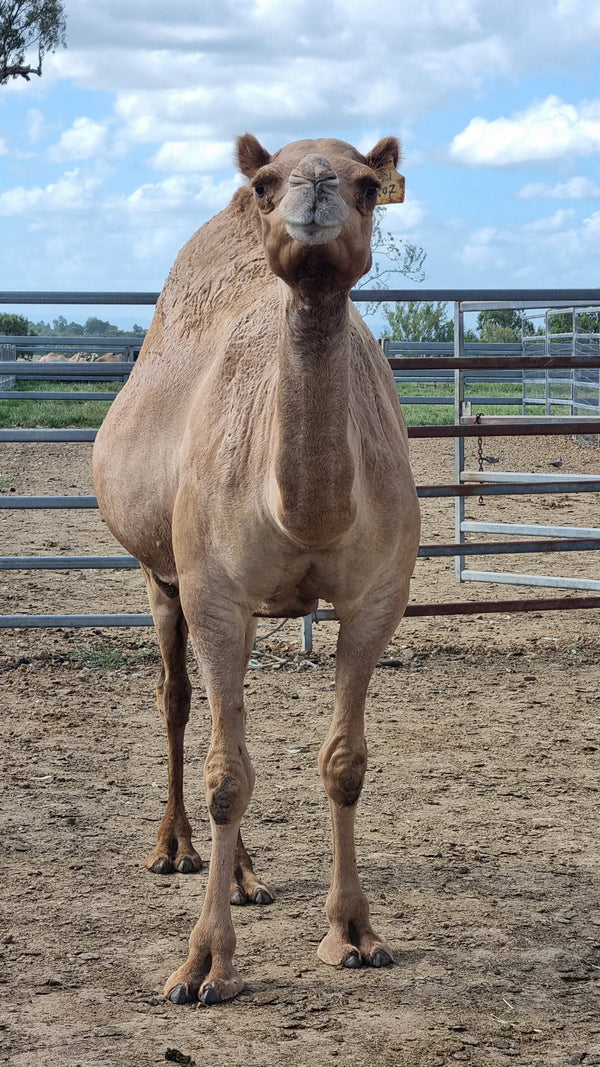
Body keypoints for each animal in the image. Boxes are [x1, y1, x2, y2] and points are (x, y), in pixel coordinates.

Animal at [92, 133, 421, 1006]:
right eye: (268, 183)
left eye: (369, 185)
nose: (314, 189)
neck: (297, 506)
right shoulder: (213, 588)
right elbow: (225, 776)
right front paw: (204, 964)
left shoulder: (378, 596)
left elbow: (344, 763)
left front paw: (354, 933)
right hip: (162, 572)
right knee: (180, 702)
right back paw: (177, 850)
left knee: (222, 719)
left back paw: (243, 874)